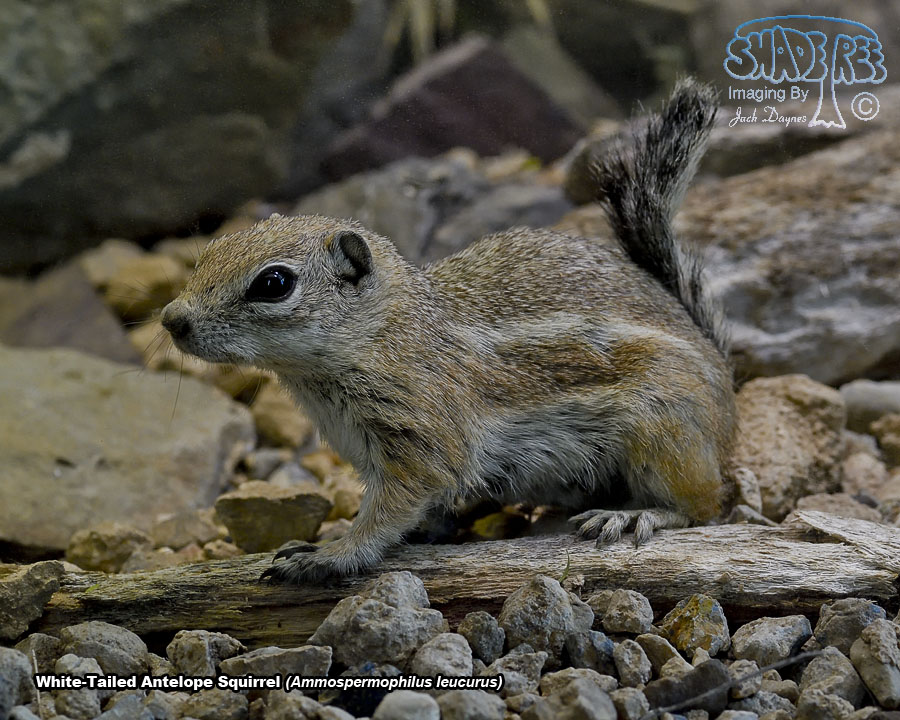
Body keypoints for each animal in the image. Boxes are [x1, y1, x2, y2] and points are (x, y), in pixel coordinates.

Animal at [161, 79, 736, 583]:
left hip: (663, 432)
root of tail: (725, 392)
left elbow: (388, 512)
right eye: (211, 250)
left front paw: (329, 554)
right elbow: (423, 509)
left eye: (274, 283)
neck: (384, 334)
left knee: (703, 506)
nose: (171, 320)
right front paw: (421, 531)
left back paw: (635, 514)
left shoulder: (420, 441)